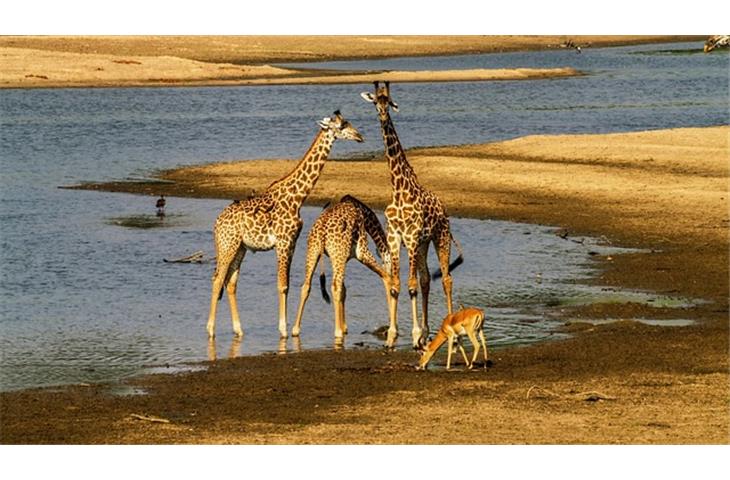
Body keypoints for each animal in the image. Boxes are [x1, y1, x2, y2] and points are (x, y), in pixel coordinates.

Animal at [205, 110, 364, 340]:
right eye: (342, 126)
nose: (359, 136)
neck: (297, 198)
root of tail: (217, 223)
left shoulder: (292, 244)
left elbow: (287, 285)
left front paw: (285, 328)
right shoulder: (282, 242)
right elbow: (282, 285)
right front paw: (283, 330)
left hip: (240, 248)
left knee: (231, 283)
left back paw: (239, 329)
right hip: (228, 245)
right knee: (217, 280)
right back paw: (210, 330)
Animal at [292, 194, 392, 342]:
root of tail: (321, 231)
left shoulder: (345, 259)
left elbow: (344, 291)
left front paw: (344, 326)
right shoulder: (361, 251)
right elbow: (385, 277)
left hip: (314, 252)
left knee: (306, 286)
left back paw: (295, 329)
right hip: (338, 256)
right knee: (334, 287)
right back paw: (337, 331)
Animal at [362, 81, 464, 348]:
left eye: (389, 101)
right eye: (375, 101)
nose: (383, 114)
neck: (399, 190)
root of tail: (444, 209)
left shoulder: (410, 237)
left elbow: (410, 286)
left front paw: (415, 335)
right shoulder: (396, 238)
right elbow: (397, 286)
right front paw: (392, 337)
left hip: (439, 237)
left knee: (446, 279)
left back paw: (449, 331)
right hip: (423, 244)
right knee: (427, 278)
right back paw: (428, 332)